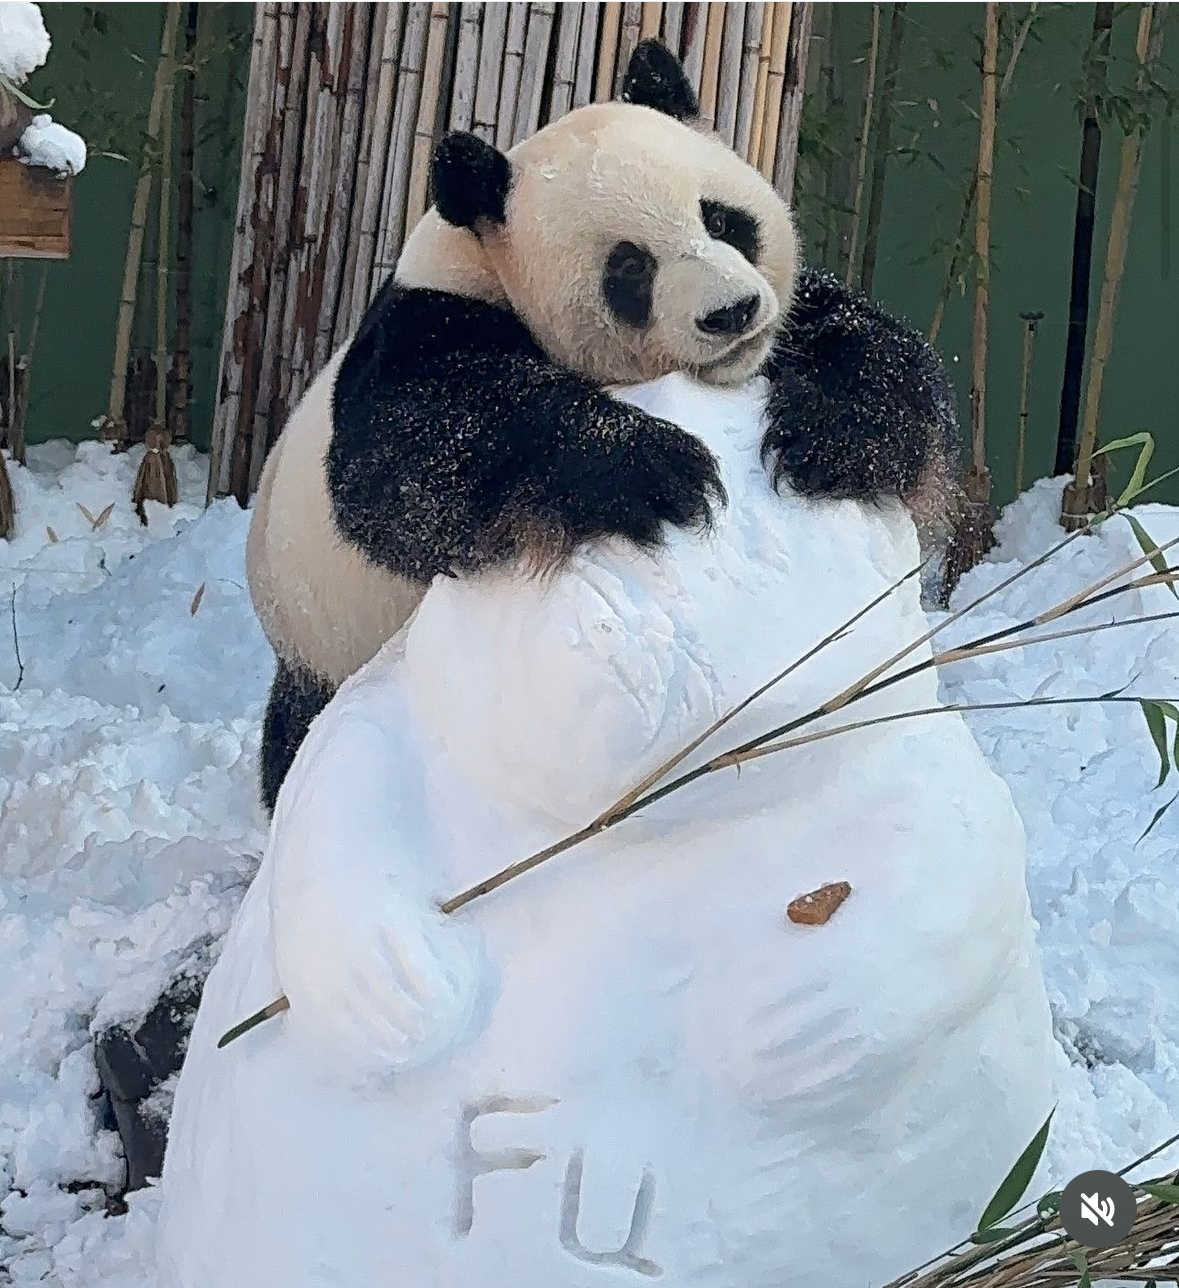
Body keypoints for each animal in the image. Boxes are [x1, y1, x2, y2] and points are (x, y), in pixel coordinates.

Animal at [246, 40, 958, 814]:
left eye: (720, 220)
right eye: (630, 268)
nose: (731, 313)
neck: (484, 258)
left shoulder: (791, 322)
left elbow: (866, 342)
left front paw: (832, 440)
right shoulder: (428, 322)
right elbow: (411, 457)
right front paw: (654, 470)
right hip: (320, 635)